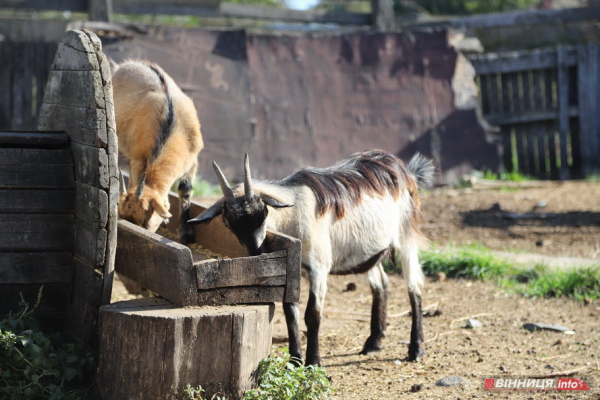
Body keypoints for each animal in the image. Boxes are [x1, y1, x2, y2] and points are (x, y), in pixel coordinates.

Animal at [112, 59, 204, 241]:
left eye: (147, 220)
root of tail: (125, 65)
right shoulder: (137, 159)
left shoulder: (192, 161)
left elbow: (185, 191)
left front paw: (186, 234)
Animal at [190, 150, 434, 366]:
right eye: (228, 223)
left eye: (264, 213)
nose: (257, 252)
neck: (294, 213)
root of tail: (403, 170)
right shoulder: (292, 268)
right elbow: (290, 312)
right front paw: (295, 360)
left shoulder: (318, 267)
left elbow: (312, 315)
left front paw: (313, 362)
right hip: (369, 250)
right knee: (381, 284)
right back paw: (373, 342)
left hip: (406, 235)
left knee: (414, 288)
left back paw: (416, 349)